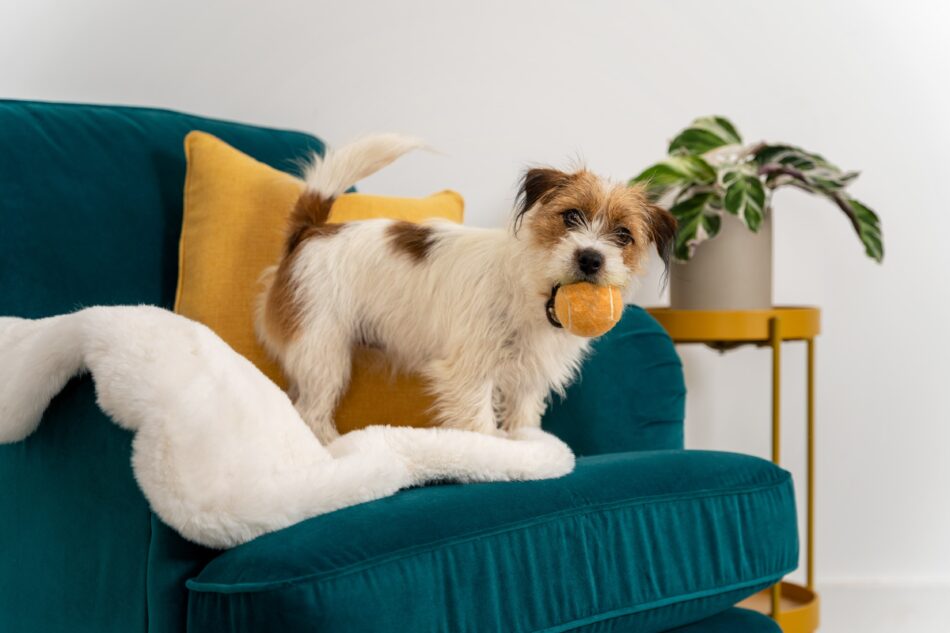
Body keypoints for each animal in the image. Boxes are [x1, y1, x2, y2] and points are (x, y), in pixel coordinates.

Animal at [256, 134, 680, 442]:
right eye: (571, 216)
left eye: (623, 235)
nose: (590, 258)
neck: (529, 294)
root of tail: (309, 232)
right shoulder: (470, 373)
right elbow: (480, 423)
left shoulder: (527, 382)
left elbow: (523, 422)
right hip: (323, 351)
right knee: (310, 412)